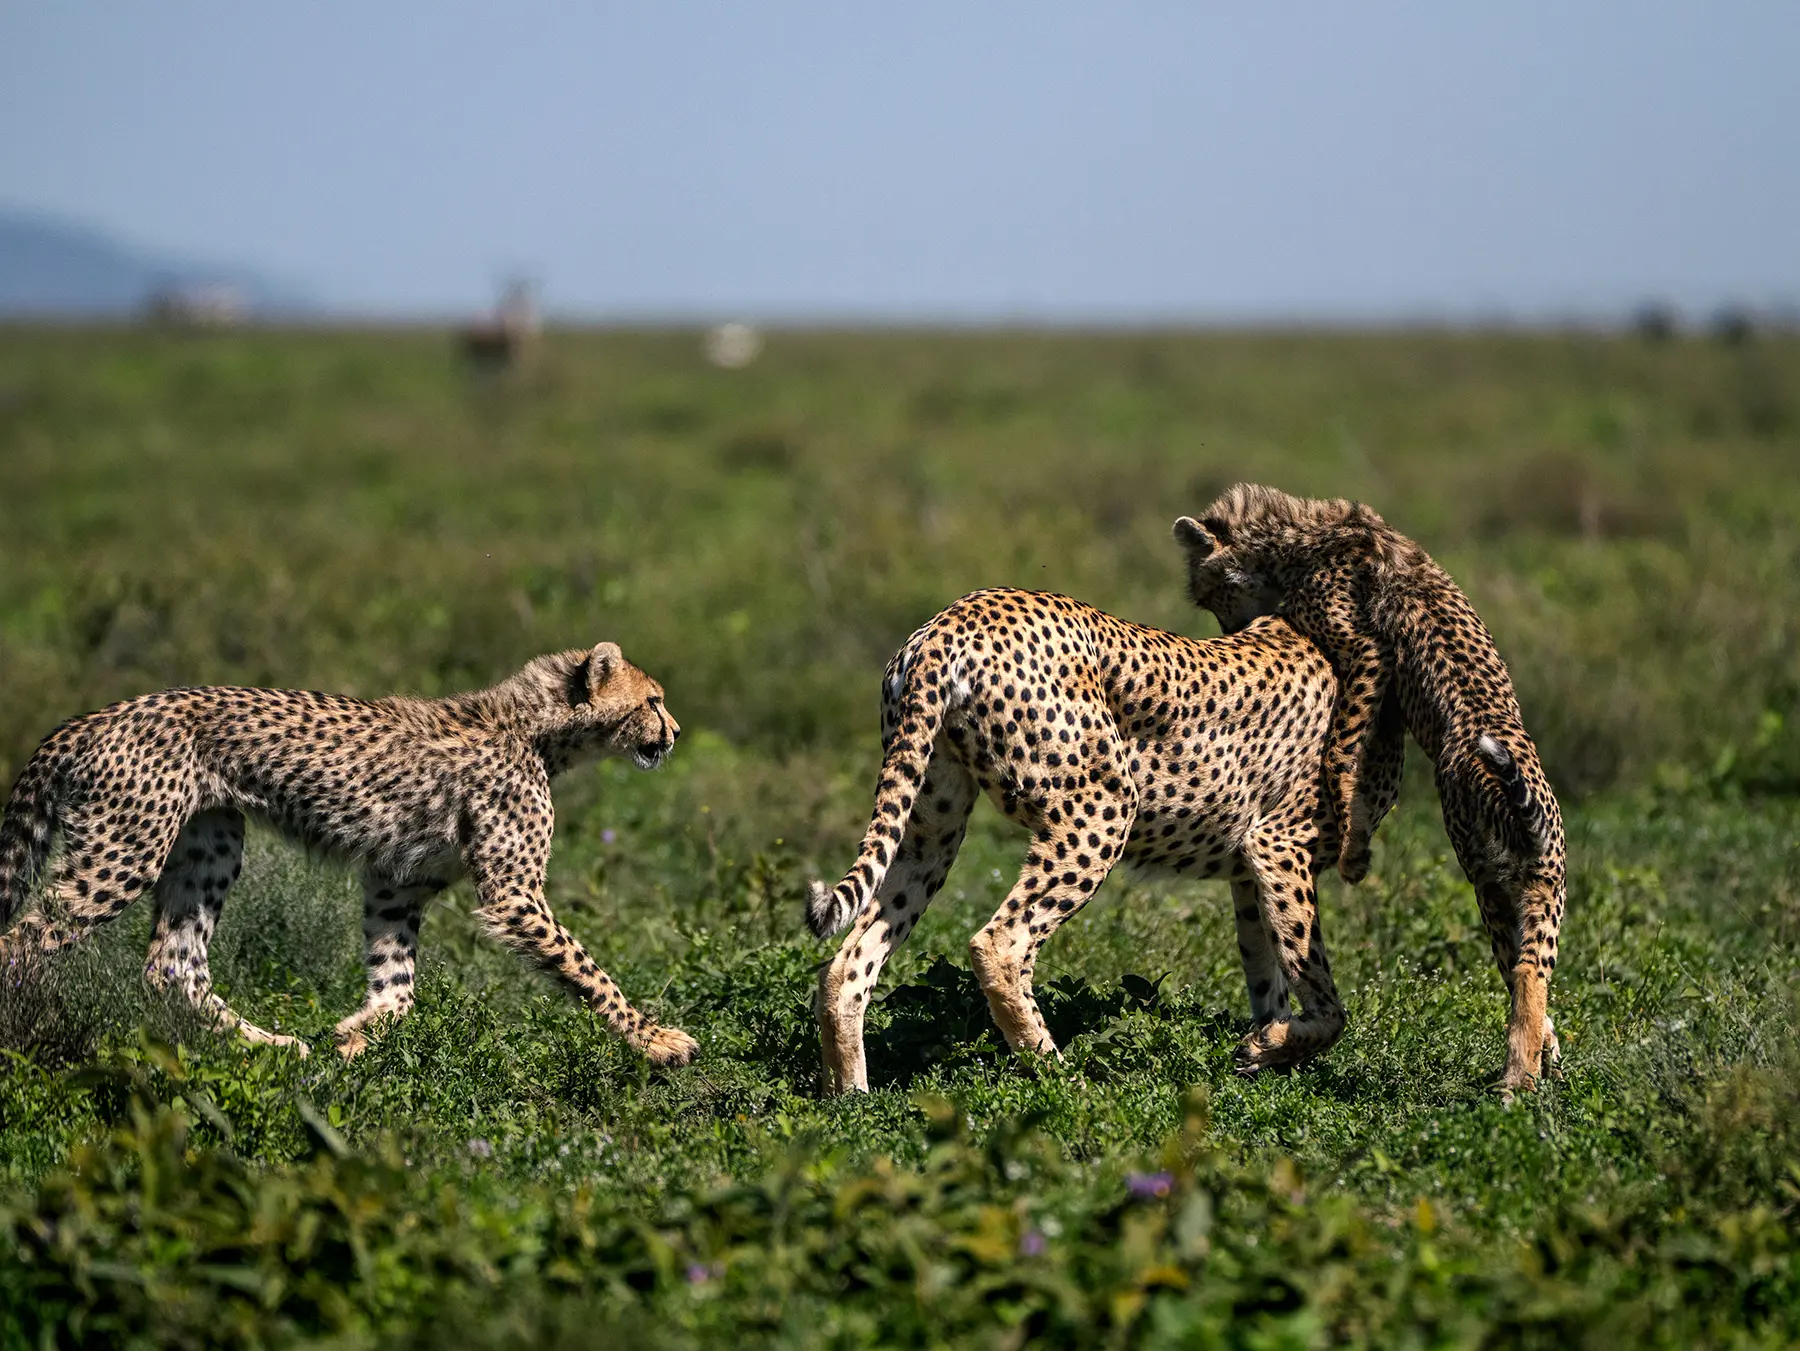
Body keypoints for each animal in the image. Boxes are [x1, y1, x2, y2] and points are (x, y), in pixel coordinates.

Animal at [0, 642, 698, 1067]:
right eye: (653, 701)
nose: (675, 732)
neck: (537, 729)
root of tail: (95, 715)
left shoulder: (400, 880)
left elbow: (398, 981)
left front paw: (360, 1035)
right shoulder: (513, 892)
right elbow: (587, 968)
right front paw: (655, 1038)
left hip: (212, 842)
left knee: (172, 966)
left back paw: (273, 1046)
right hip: (126, 849)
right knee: (26, 938)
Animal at [807, 586, 1348, 1094]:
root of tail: (953, 620)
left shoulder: (1249, 872)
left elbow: (1267, 969)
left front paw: (1265, 1051)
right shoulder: (1279, 847)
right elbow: (1319, 987)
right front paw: (1274, 1047)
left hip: (929, 821)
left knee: (847, 962)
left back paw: (852, 1099)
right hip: (1102, 807)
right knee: (1002, 946)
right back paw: (1063, 1084)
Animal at [1174, 483, 1565, 1095]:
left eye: (1212, 595)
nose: (1227, 633)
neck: (1299, 534)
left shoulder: (1364, 649)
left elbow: (1342, 746)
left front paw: (1353, 847)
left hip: (1483, 868)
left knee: (1519, 967)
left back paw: (1514, 1082)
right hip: (1538, 887)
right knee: (1529, 970)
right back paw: (1533, 1062)